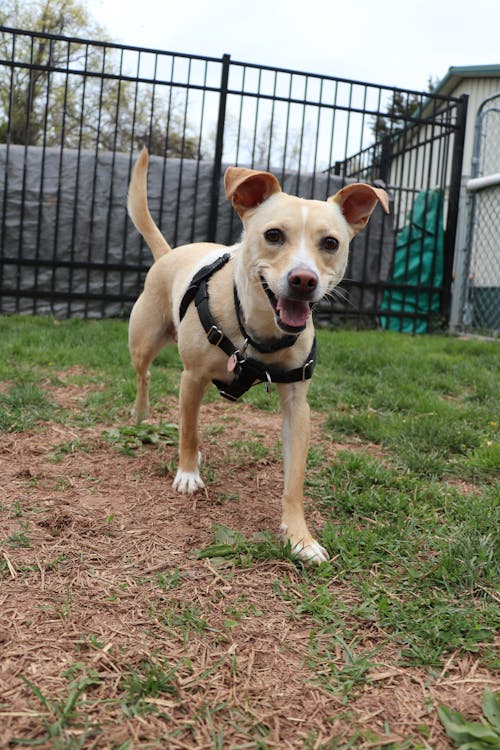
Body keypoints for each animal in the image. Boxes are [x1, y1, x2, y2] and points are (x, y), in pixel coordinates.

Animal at [127, 148, 388, 564]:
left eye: (331, 243)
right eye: (273, 235)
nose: (304, 280)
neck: (259, 331)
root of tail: (170, 252)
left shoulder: (298, 406)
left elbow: (294, 479)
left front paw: (299, 537)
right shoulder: (192, 378)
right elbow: (189, 432)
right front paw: (187, 473)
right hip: (144, 341)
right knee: (145, 376)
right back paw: (141, 414)